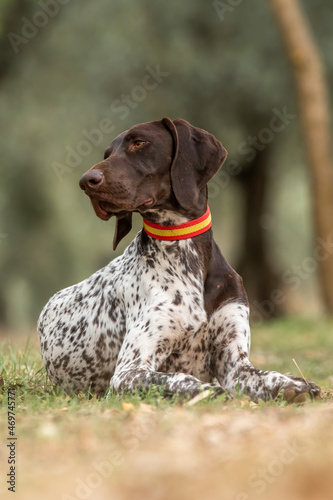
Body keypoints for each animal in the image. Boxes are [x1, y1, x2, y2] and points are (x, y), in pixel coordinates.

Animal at [37, 118, 320, 402]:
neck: (185, 253)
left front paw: (295, 384)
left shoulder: (234, 364)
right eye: (107, 154)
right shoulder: (129, 372)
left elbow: (269, 375)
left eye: (139, 143)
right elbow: (182, 380)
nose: (86, 181)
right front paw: (210, 391)